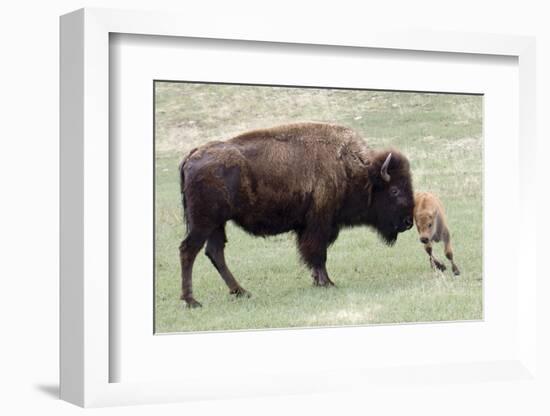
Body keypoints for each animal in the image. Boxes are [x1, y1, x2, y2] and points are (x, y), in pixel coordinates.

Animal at [180, 122, 414, 308]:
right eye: (395, 190)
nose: (408, 222)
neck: (357, 170)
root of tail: (192, 155)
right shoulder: (319, 224)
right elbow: (318, 254)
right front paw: (327, 283)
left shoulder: (309, 228)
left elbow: (312, 254)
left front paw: (318, 281)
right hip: (204, 223)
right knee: (188, 250)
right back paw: (192, 301)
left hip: (216, 224)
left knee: (215, 252)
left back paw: (241, 292)